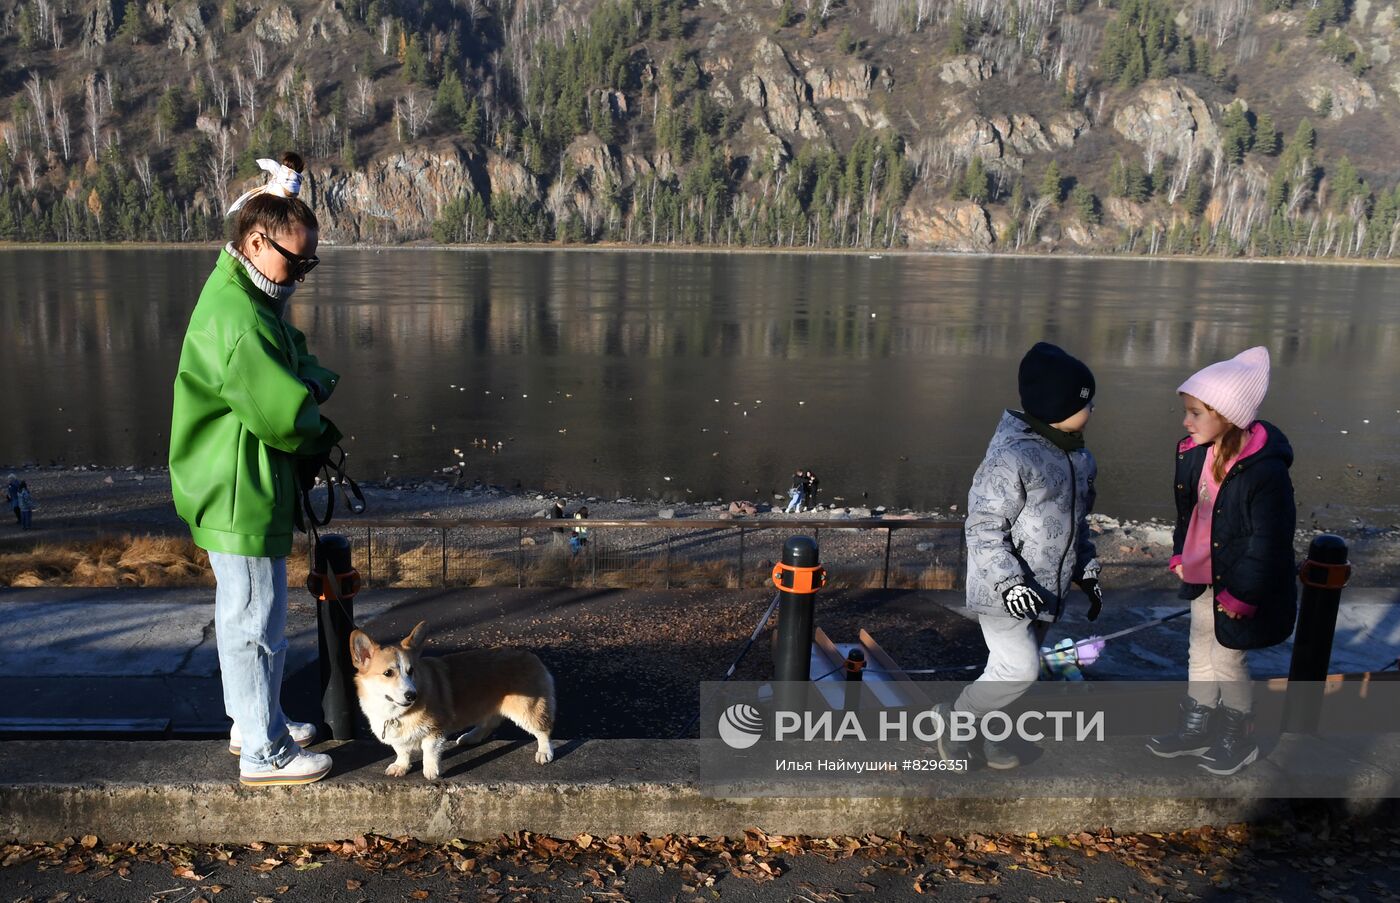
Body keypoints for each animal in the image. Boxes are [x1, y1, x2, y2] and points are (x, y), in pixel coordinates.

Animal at [347, 618, 554, 772]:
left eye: (411, 670)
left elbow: (429, 749)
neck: (395, 712)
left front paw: (431, 771)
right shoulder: (397, 739)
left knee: (543, 730)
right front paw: (401, 766)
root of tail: (529, 655)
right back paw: (470, 737)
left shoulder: (436, 728)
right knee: (489, 722)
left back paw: (544, 752)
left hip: (528, 709)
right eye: (388, 673)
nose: (412, 695)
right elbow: (401, 751)